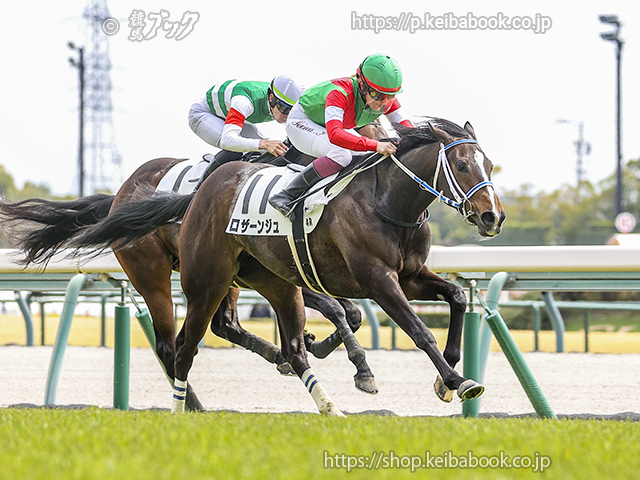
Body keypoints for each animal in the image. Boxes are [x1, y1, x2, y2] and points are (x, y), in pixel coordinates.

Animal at [0, 123, 391, 410]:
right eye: (366, 131)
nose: (383, 151)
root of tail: (119, 198)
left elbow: (352, 313)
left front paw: (324, 347)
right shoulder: (281, 273)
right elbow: (337, 311)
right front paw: (355, 364)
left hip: (219, 277)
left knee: (225, 325)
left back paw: (273, 356)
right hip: (156, 274)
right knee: (172, 345)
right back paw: (194, 404)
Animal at [61, 119, 506, 415]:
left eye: (489, 164)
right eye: (462, 165)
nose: (492, 217)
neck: (386, 201)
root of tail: (122, 193)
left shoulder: (409, 277)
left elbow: (455, 296)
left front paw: (446, 372)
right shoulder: (376, 279)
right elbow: (411, 329)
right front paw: (453, 380)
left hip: (243, 277)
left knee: (228, 327)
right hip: (164, 276)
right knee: (174, 344)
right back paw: (191, 404)